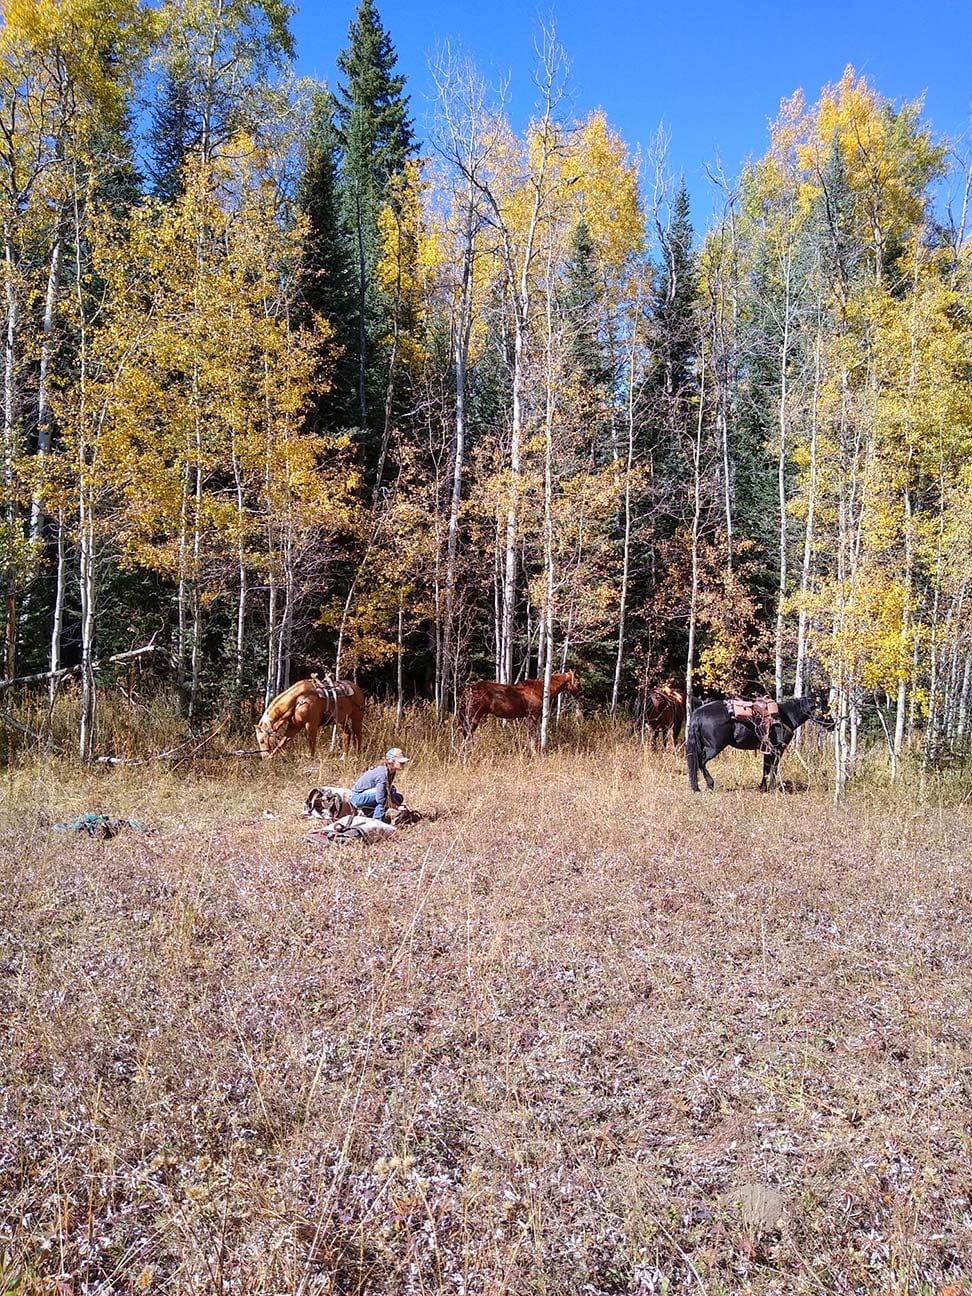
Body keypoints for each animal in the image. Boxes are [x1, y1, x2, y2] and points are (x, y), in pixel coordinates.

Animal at [686, 691, 834, 792]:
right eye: (825, 709)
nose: (833, 725)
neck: (786, 717)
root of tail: (698, 714)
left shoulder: (767, 750)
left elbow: (765, 769)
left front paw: (763, 787)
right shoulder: (778, 750)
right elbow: (773, 769)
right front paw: (772, 789)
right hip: (714, 747)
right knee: (701, 762)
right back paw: (710, 784)